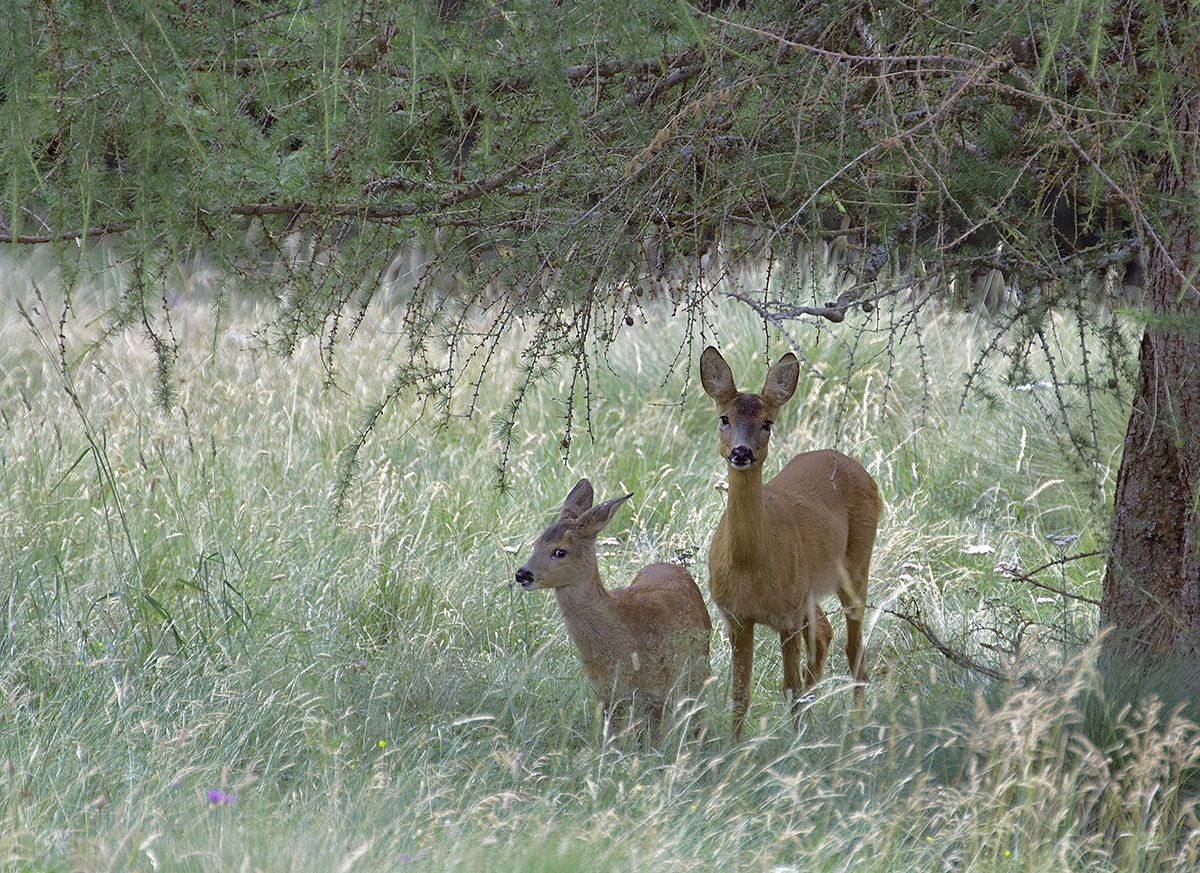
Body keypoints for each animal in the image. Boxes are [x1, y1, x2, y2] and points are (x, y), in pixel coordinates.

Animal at [514, 479, 712, 739]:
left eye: (560, 551)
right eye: (536, 543)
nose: (522, 574)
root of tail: (675, 567)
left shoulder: (655, 688)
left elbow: (651, 740)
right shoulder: (605, 694)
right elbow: (612, 738)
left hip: (699, 663)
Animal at [699, 346, 882, 740]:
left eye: (767, 423)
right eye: (724, 418)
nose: (741, 452)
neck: (750, 565)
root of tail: (846, 459)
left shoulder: (787, 616)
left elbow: (790, 688)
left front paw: (793, 746)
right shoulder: (736, 617)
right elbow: (740, 694)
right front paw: (734, 749)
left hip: (856, 565)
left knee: (855, 654)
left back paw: (857, 731)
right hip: (810, 591)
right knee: (825, 635)